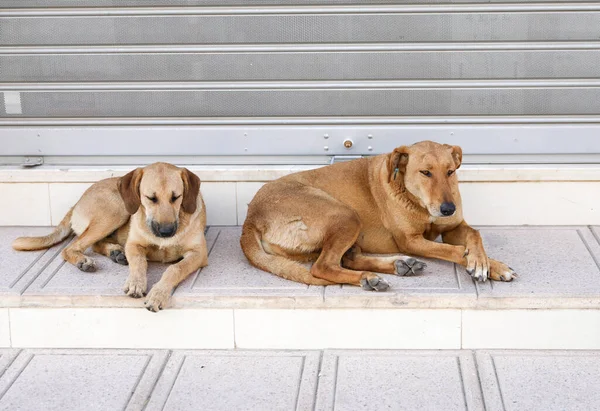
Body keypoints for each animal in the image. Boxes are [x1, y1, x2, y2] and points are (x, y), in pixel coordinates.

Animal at [13, 163, 209, 310]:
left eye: (176, 197)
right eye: (150, 198)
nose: (166, 232)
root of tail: (77, 203)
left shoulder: (199, 254)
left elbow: (175, 269)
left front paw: (158, 294)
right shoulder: (134, 245)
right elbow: (139, 262)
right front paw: (136, 282)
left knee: (93, 244)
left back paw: (115, 252)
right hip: (117, 210)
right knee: (72, 247)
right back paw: (84, 260)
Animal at [241, 140, 516, 292]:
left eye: (450, 172)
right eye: (425, 172)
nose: (448, 209)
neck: (418, 202)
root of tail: (251, 217)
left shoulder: (452, 227)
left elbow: (475, 234)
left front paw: (488, 263)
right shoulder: (411, 241)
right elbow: (456, 251)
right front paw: (483, 264)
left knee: (347, 259)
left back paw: (399, 265)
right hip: (346, 215)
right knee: (323, 266)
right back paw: (369, 278)